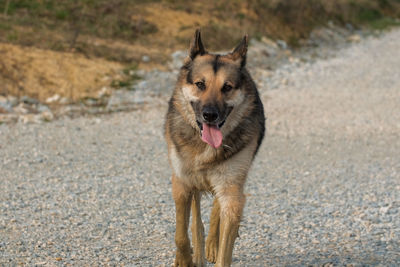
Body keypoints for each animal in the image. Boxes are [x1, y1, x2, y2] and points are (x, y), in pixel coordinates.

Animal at [165, 29, 266, 267]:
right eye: (200, 84)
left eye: (227, 87)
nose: (210, 115)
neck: (205, 147)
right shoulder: (181, 184)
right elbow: (181, 234)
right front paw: (184, 259)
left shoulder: (232, 195)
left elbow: (224, 245)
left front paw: (214, 248)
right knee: (195, 221)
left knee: (216, 213)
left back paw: (210, 245)